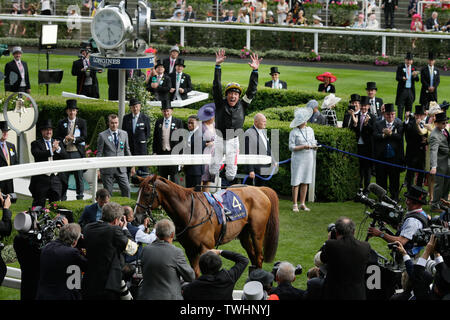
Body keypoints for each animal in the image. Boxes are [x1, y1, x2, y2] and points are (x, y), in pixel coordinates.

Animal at [134, 174, 278, 276]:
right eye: (138, 192)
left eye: (147, 194)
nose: (136, 217)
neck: (190, 211)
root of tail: (258, 189)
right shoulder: (190, 250)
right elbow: (196, 273)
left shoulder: (206, 248)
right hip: (244, 234)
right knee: (253, 257)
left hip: (257, 233)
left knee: (259, 257)